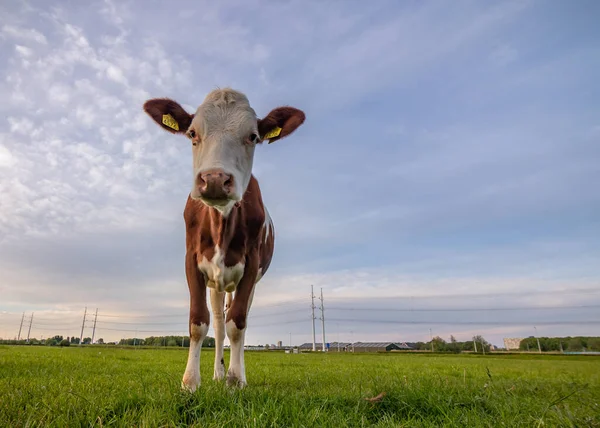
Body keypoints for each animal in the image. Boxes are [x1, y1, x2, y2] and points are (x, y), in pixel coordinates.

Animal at [144, 88, 308, 390]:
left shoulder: (251, 265)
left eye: (253, 136)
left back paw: (234, 373)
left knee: (237, 321)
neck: (221, 220)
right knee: (219, 323)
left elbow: (238, 323)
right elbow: (198, 322)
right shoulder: (192, 261)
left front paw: (235, 381)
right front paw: (191, 382)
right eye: (192, 133)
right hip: (216, 284)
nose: (215, 179)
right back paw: (217, 372)